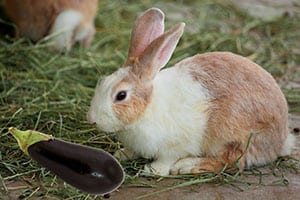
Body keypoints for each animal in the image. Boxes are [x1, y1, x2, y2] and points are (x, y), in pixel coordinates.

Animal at [87, 7, 296, 175]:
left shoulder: (175, 146)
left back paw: (186, 166)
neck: (148, 108)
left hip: (232, 136)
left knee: (232, 161)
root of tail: (280, 139)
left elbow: (167, 159)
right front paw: (122, 154)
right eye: (102, 82)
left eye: (121, 95)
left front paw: (153, 170)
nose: (92, 120)